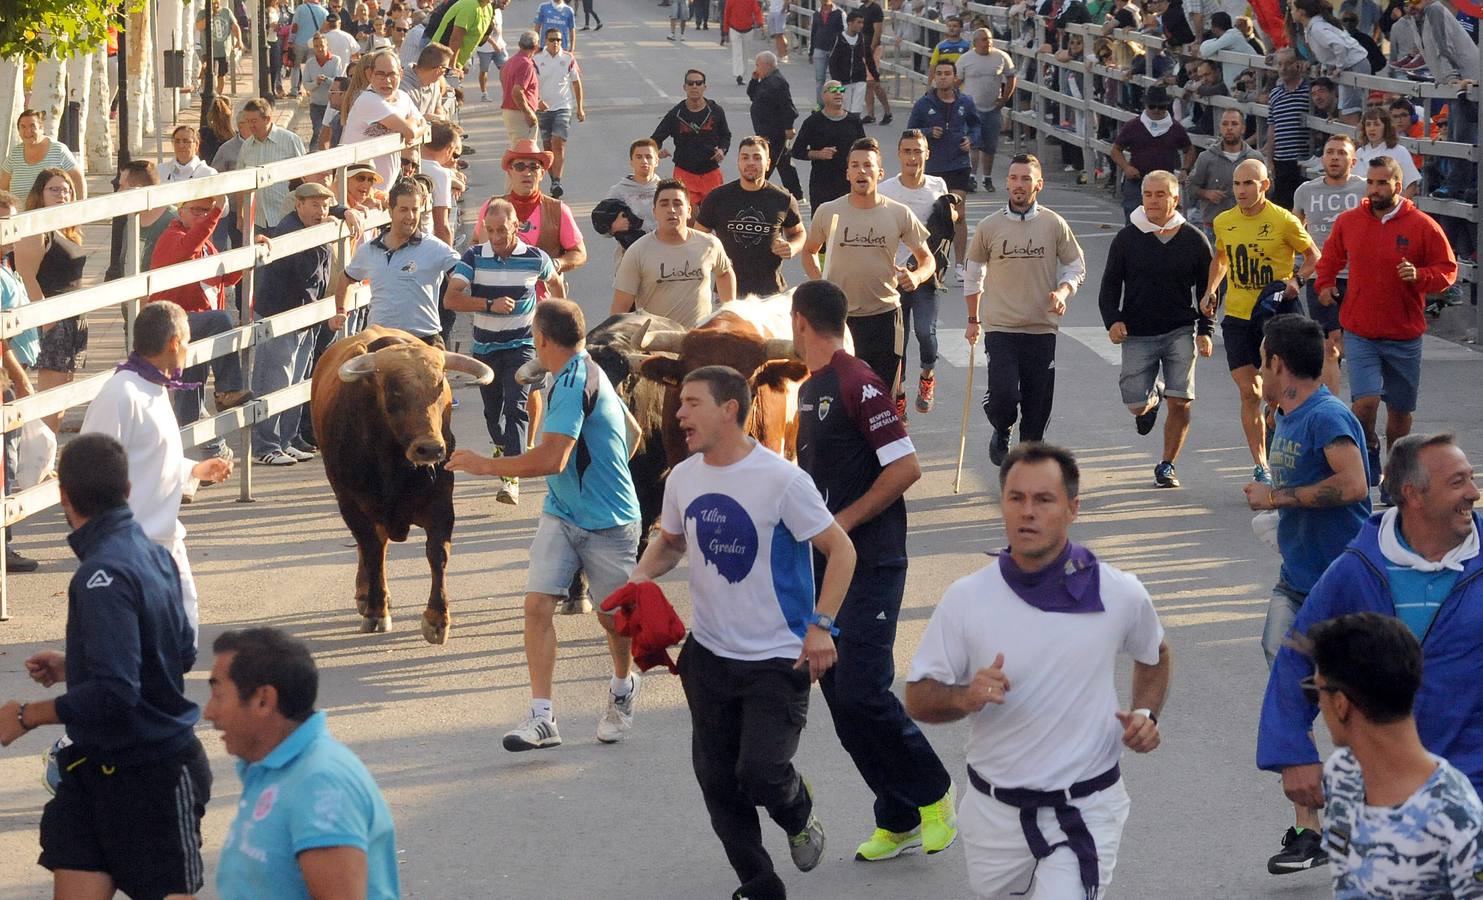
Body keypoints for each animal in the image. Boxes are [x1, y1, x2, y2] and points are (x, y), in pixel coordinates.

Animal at [309, 327, 495, 643]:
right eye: (394, 389)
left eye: (440, 385)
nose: (430, 449)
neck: (394, 465)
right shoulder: (351, 504)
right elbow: (371, 550)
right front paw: (376, 611)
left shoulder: (441, 503)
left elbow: (437, 553)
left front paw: (437, 619)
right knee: (373, 548)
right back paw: (366, 595)